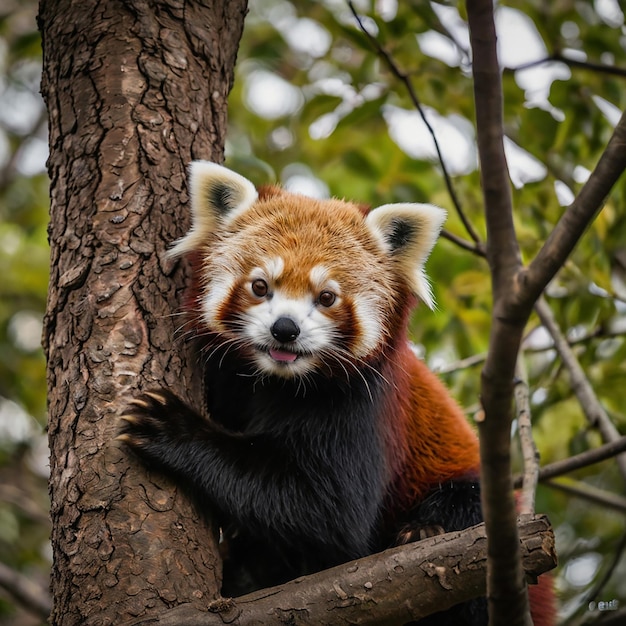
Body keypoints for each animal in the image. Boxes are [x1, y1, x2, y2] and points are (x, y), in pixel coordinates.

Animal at [119, 162, 552, 624]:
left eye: (326, 296)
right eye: (260, 286)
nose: (285, 329)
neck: (275, 379)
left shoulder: (362, 403)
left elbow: (328, 511)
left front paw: (171, 427)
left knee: (466, 507)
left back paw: (423, 532)